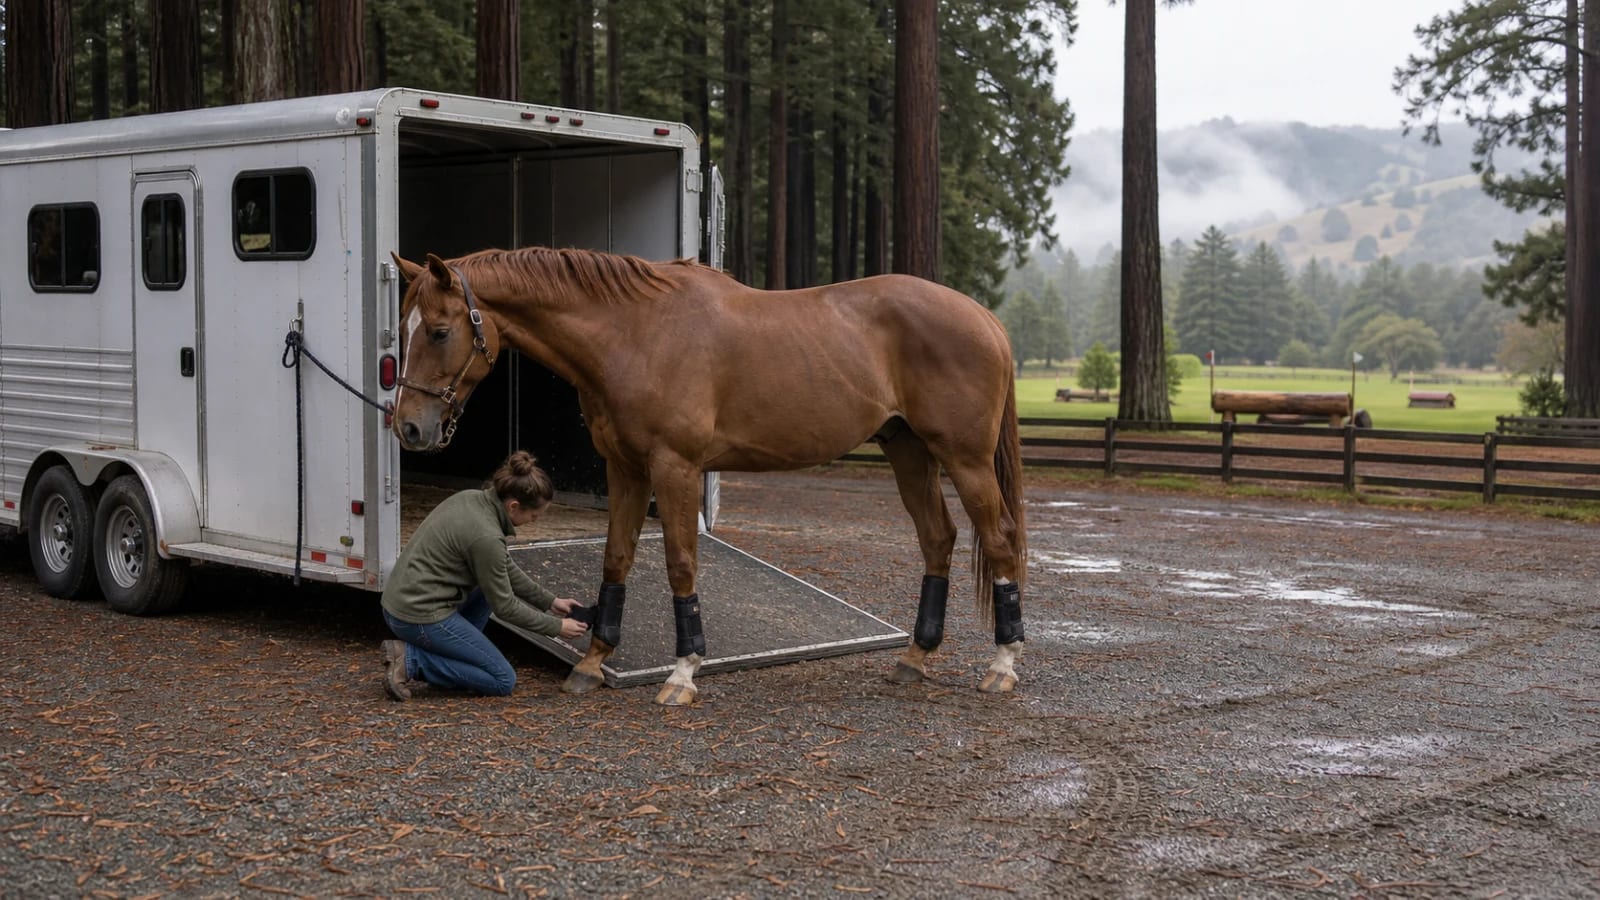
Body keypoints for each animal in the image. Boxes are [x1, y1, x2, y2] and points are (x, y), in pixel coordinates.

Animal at [389, 247, 1027, 706]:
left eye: (440, 330)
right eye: (403, 327)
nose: (411, 427)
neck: (637, 333)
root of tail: (985, 319)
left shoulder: (675, 467)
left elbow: (680, 563)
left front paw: (683, 673)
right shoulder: (625, 468)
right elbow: (616, 558)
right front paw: (593, 662)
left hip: (965, 460)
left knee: (998, 542)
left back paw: (1001, 666)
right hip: (909, 452)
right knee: (938, 540)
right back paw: (915, 658)